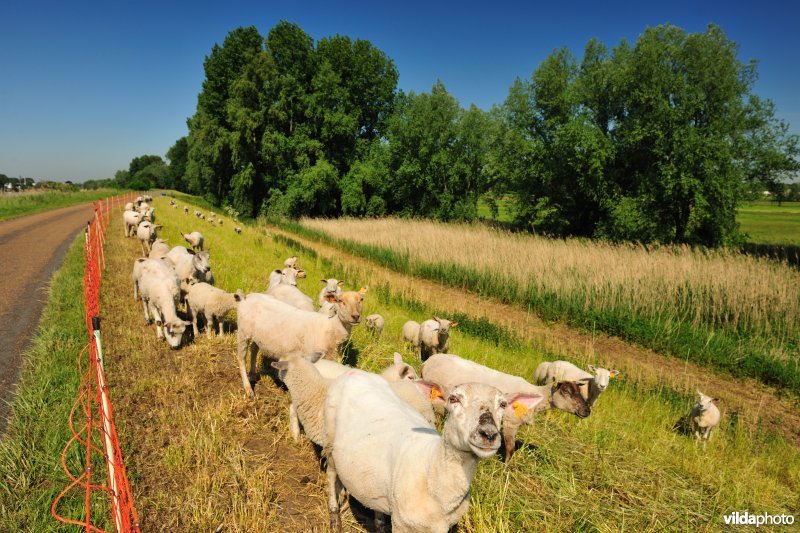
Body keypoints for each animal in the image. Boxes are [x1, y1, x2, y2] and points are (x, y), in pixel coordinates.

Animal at [234, 288, 366, 396]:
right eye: (340, 301)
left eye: (361, 300)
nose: (355, 316)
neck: (330, 328)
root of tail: (248, 296)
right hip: (243, 331)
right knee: (241, 357)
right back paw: (248, 389)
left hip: (259, 335)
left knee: (254, 348)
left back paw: (252, 375)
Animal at [322, 370, 540, 532]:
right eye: (453, 399)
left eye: (503, 404)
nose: (489, 433)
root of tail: (354, 372)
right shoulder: (402, 525)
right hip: (330, 440)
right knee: (331, 475)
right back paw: (334, 516)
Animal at [422, 354, 592, 462]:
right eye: (566, 392)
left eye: (579, 392)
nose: (587, 411)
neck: (537, 395)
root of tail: (428, 361)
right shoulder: (511, 422)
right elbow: (510, 447)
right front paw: (506, 468)